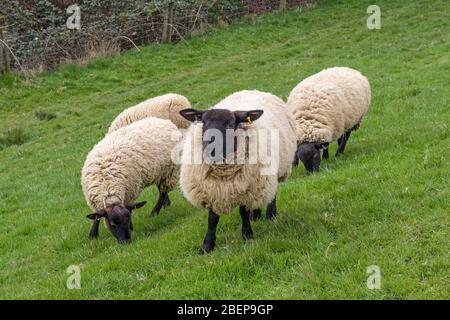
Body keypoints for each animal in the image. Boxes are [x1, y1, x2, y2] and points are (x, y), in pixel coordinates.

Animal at [178, 89, 298, 252]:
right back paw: (256, 216)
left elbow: (243, 212)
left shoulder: (248, 186)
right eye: (204, 123)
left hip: (273, 171)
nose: (208, 147)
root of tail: (254, 90)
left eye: (229, 124)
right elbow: (212, 218)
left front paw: (247, 235)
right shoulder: (212, 190)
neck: (223, 173)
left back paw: (270, 215)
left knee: (272, 193)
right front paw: (207, 245)